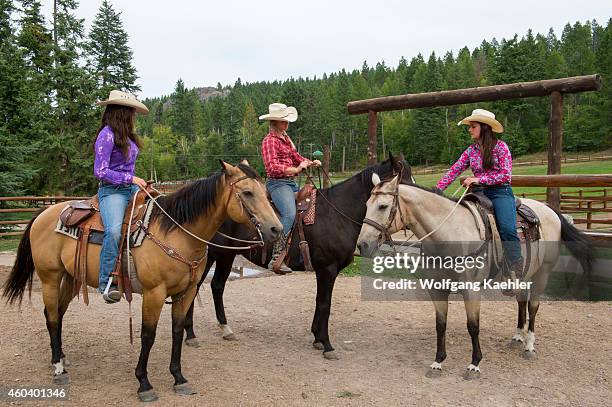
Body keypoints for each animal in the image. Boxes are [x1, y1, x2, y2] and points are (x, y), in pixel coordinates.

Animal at [1, 162, 282, 402]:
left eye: (266, 192)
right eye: (247, 193)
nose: (276, 229)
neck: (175, 232)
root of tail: (44, 212)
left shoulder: (186, 292)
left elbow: (177, 331)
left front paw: (179, 378)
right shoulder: (154, 293)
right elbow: (148, 335)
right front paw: (144, 384)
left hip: (71, 278)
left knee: (59, 314)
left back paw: (61, 357)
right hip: (50, 276)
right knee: (51, 317)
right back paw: (58, 369)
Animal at [182, 154, 412, 360]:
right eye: (401, 181)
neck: (337, 214)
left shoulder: (326, 271)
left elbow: (320, 302)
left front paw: (317, 338)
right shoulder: (327, 269)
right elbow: (325, 304)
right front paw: (327, 344)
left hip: (226, 255)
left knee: (217, 286)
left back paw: (225, 329)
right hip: (213, 255)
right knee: (196, 288)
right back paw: (191, 334)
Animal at [356, 174, 592, 380]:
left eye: (383, 206)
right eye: (366, 204)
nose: (363, 245)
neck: (450, 234)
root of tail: (550, 210)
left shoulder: (471, 290)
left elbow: (473, 326)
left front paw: (474, 364)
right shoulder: (436, 288)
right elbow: (440, 324)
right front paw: (438, 362)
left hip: (542, 273)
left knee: (533, 307)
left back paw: (529, 346)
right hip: (524, 274)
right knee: (521, 301)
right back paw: (517, 336)